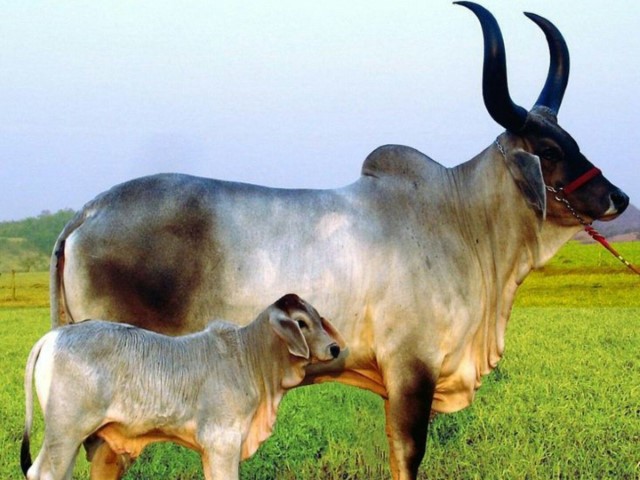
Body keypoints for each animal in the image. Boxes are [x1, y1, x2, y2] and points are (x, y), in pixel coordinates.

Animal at [22, 294, 344, 480]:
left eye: (317, 318)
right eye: (301, 323)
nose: (335, 348)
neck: (249, 358)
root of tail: (56, 335)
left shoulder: (212, 450)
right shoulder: (222, 442)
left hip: (67, 435)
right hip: (65, 431)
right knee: (44, 473)